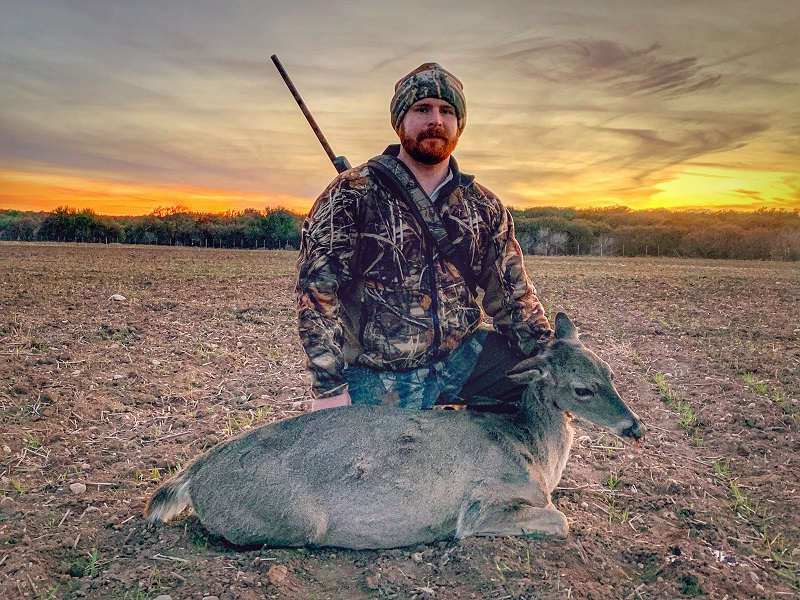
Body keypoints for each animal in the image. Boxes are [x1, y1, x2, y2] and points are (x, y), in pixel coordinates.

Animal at [145, 312, 644, 549]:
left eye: (611, 372)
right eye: (582, 388)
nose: (636, 427)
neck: (535, 452)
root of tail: (197, 470)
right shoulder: (483, 505)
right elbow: (560, 520)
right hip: (293, 519)